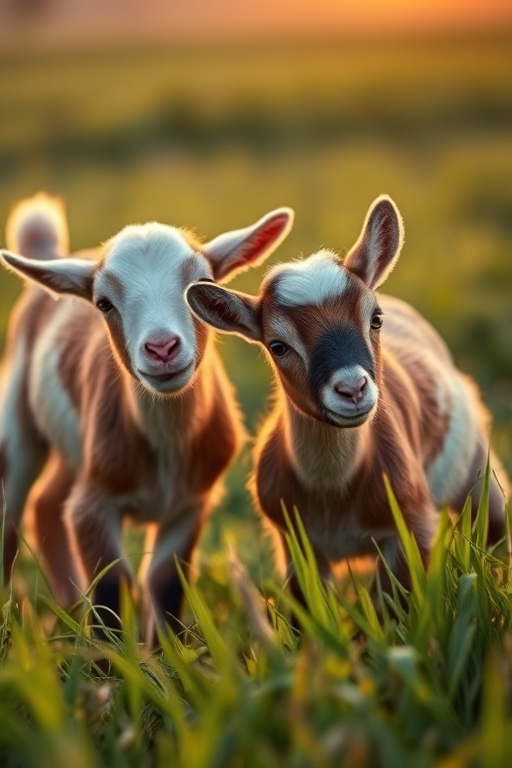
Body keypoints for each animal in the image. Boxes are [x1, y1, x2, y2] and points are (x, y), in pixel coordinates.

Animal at [0, 193, 294, 639]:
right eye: (103, 304)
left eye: (201, 286)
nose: (161, 348)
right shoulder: (95, 504)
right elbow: (113, 584)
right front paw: (110, 653)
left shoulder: (191, 502)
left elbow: (165, 581)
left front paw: (166, 652)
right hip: (18, 416)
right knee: (12, 511)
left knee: (47, 502)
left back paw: (70, 610)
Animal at [186, 195, 509, 598]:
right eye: (277, 346)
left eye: (375, 319)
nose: (352, 388)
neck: (333, 495)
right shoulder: (296, 545)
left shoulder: (412, 529)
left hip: (477, 469)